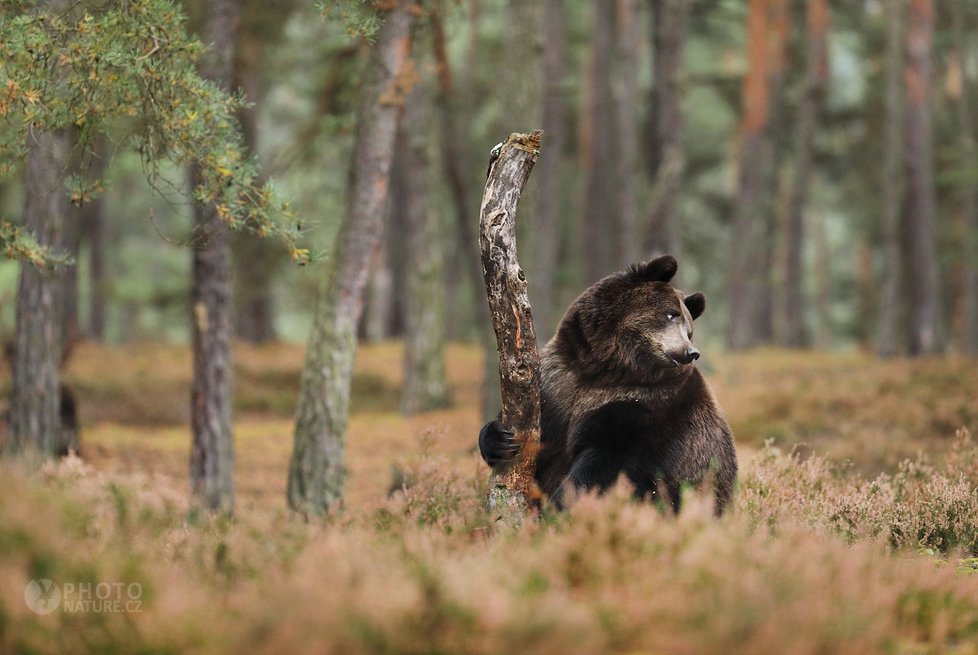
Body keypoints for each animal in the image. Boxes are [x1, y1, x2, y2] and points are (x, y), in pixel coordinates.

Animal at [476, 254, 736, 516]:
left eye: (689, 330)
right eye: (671, 314)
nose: (690, 351)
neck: (604, 371)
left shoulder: (649, 410)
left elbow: (607, 464)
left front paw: (560, 504)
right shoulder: (557, 386)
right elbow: (538, 436)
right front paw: (499, 439)